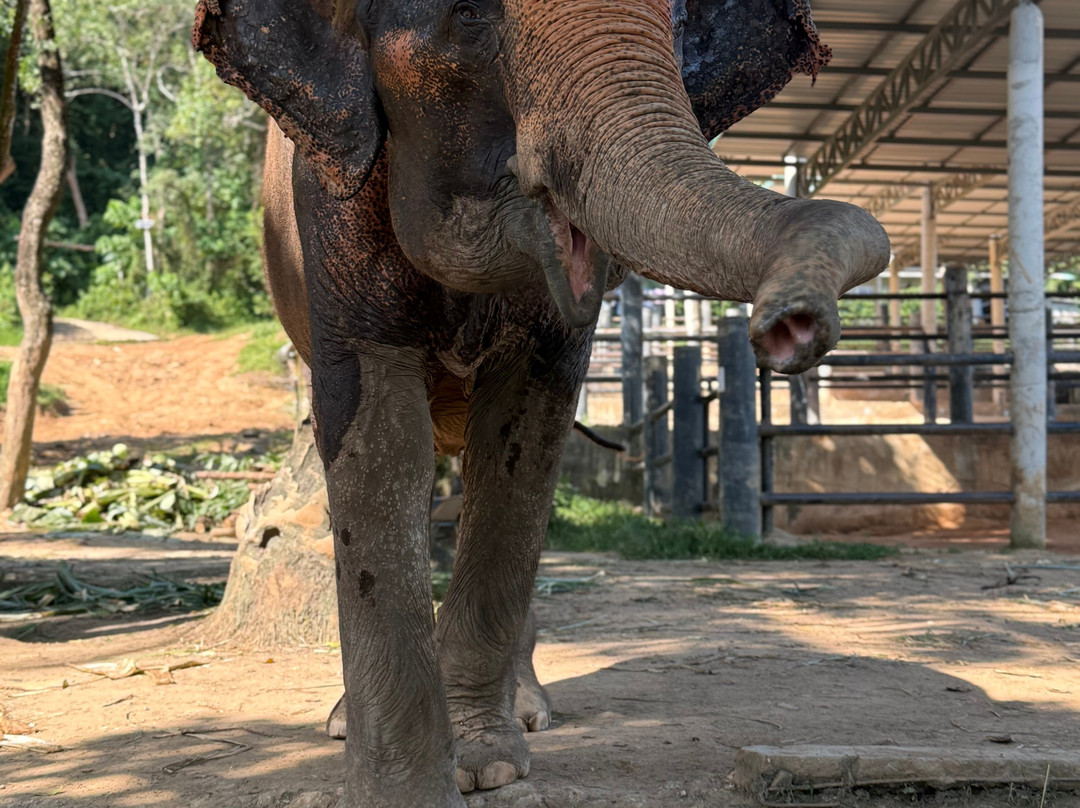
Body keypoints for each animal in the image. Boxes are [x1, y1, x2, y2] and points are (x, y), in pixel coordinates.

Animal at [193, 0, 889, 805]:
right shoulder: (333, 206)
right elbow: (380, 439)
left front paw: (484, 764)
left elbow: (522, 436)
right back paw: (344, 720)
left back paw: (527, 713)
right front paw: (406, 790)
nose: (789, 328)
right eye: (467, 18)